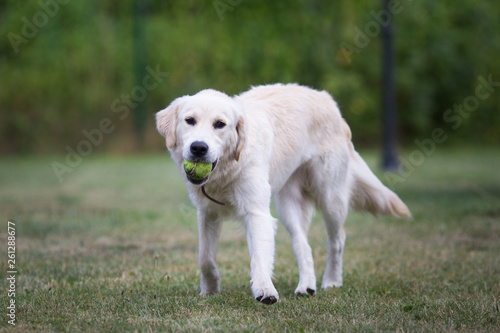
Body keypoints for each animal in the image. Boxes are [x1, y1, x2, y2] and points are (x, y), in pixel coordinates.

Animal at [156, 83, 410, 304]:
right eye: (190, 121)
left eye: (220, 124)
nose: (199, 148)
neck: (226, 170)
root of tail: (328, 100)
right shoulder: (207, 213)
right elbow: (205, 258)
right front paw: (210, 289)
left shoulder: (257, 213)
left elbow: (259, 258)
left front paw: (264, 290)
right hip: (289, 208)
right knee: (303, 244)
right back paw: (306, 286)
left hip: (331, 198)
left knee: (337, 240)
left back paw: (332, 281)